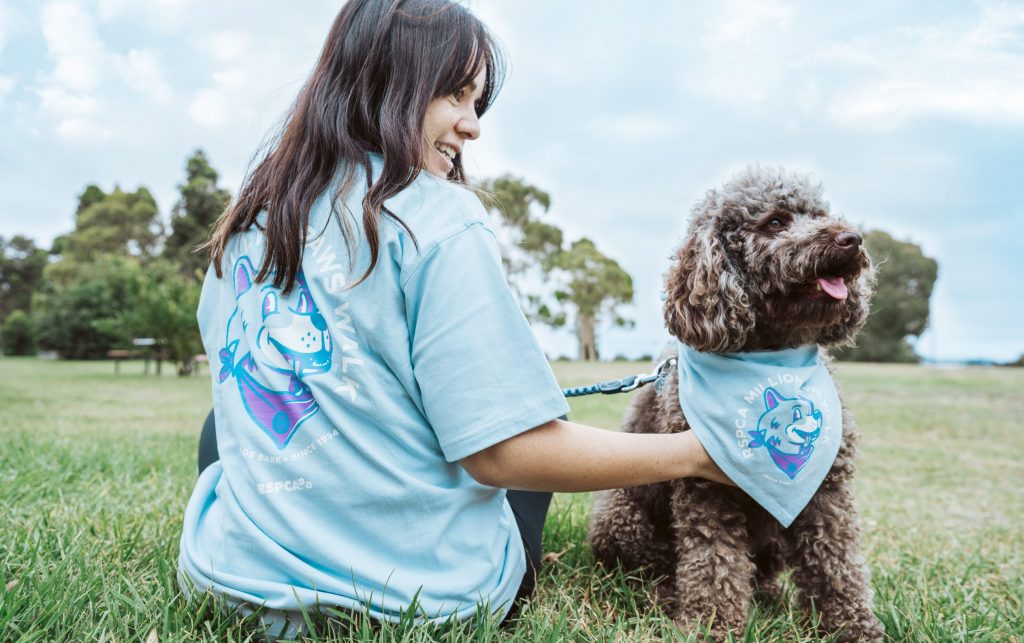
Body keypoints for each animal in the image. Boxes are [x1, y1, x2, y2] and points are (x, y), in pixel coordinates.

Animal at [589, 166, 884, 643]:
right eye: (775, 222)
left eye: (818, 214)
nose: (851, 238)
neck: (768, 354)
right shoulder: (705, 492)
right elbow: (713, 564)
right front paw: (710, 626)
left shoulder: (826, 489)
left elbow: (835, 562)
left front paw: (852, 626)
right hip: (618, 516)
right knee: (655, 568)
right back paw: (665, 597)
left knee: (761, 573)